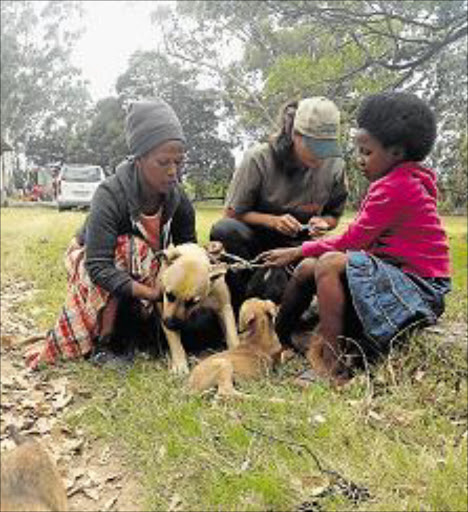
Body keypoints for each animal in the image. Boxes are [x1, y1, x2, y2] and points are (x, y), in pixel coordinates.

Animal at [157, 242, 239, 374]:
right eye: (169, 295)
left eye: (192, 302)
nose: (172, 324)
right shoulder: (163, 310)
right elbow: (174, 340)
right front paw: (180, 364)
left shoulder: (224, 307)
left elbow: (232, 335)